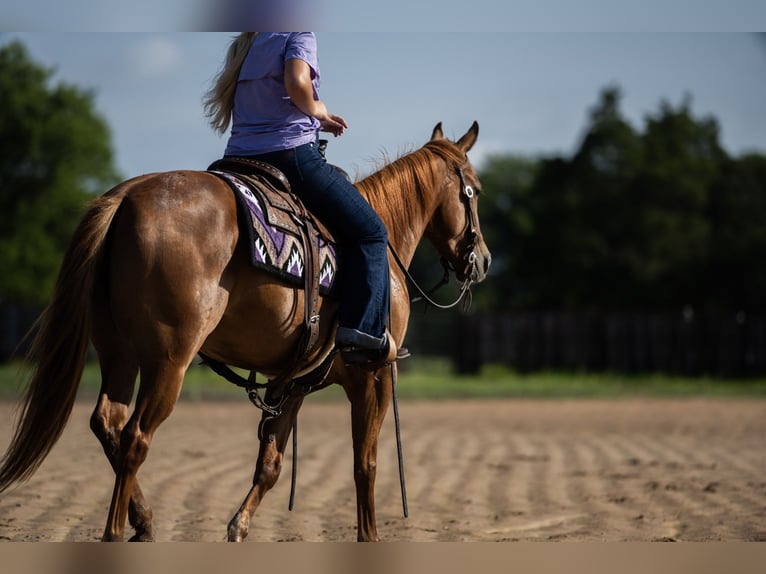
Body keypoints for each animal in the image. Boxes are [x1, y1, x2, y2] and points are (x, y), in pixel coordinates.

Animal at [0, 122, 491, 542]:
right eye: (475, 191)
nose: (483, 259)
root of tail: (126, 196)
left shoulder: (291, 384)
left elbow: (270, 464)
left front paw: (239, 527)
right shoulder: (373, 376)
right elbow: (365, 463)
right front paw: (368, 536)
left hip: (118, 354)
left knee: (109, 424)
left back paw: (144, 521)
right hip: (168, 363)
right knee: (135, 438)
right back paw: (115, 531)